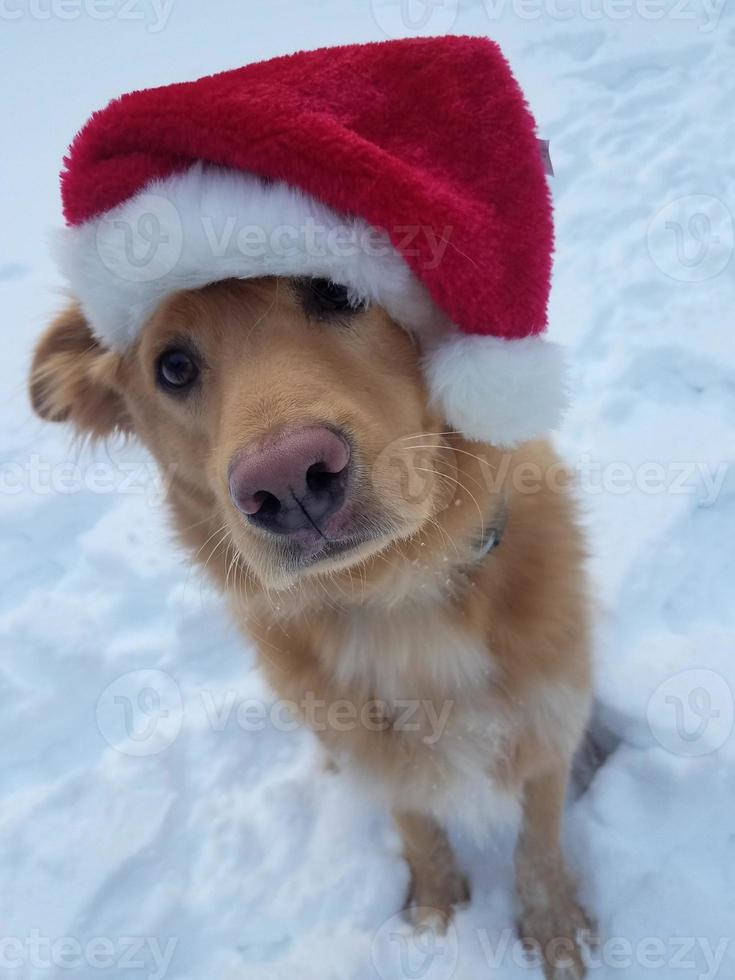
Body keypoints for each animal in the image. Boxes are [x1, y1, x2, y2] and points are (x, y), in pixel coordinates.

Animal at [30, 272, 600, 976]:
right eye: (173, 367)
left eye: (337, 292)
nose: (286, 479)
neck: (398, 596)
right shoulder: (373, 748)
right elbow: (418, 828)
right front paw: (435, 923)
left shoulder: (548, 716)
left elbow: (538, 844)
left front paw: (556, 933)